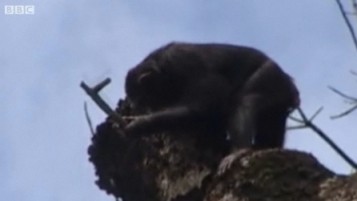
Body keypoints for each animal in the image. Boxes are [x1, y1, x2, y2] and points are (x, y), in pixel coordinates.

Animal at [121, 41, 298, 172]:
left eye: (143, 100)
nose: (148, 109)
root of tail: (292, 87)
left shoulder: (186, 66)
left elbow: (200, 109)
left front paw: (137, 124)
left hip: (270, 77)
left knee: (244, 102)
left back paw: (239, 150)